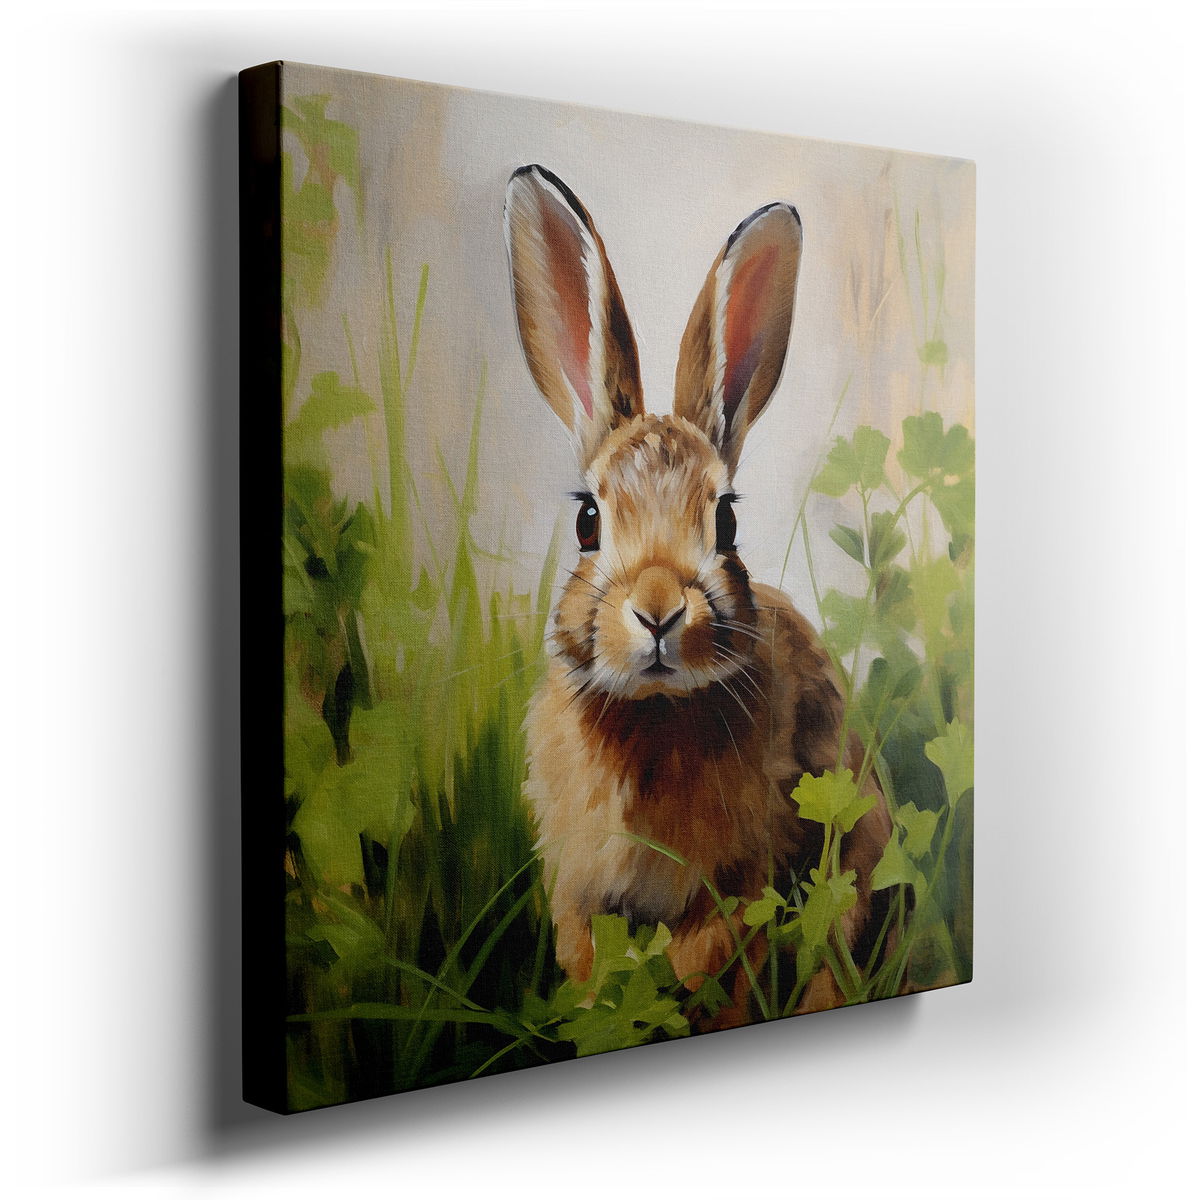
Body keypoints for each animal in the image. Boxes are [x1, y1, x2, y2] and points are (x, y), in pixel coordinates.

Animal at [503, 164, 894, 1023]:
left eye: (726, 520)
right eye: (587, 520)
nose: (658, 611)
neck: (653, 718)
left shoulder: (742, 883)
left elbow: (710, 966)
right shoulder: (576, 892)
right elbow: (589, 970)